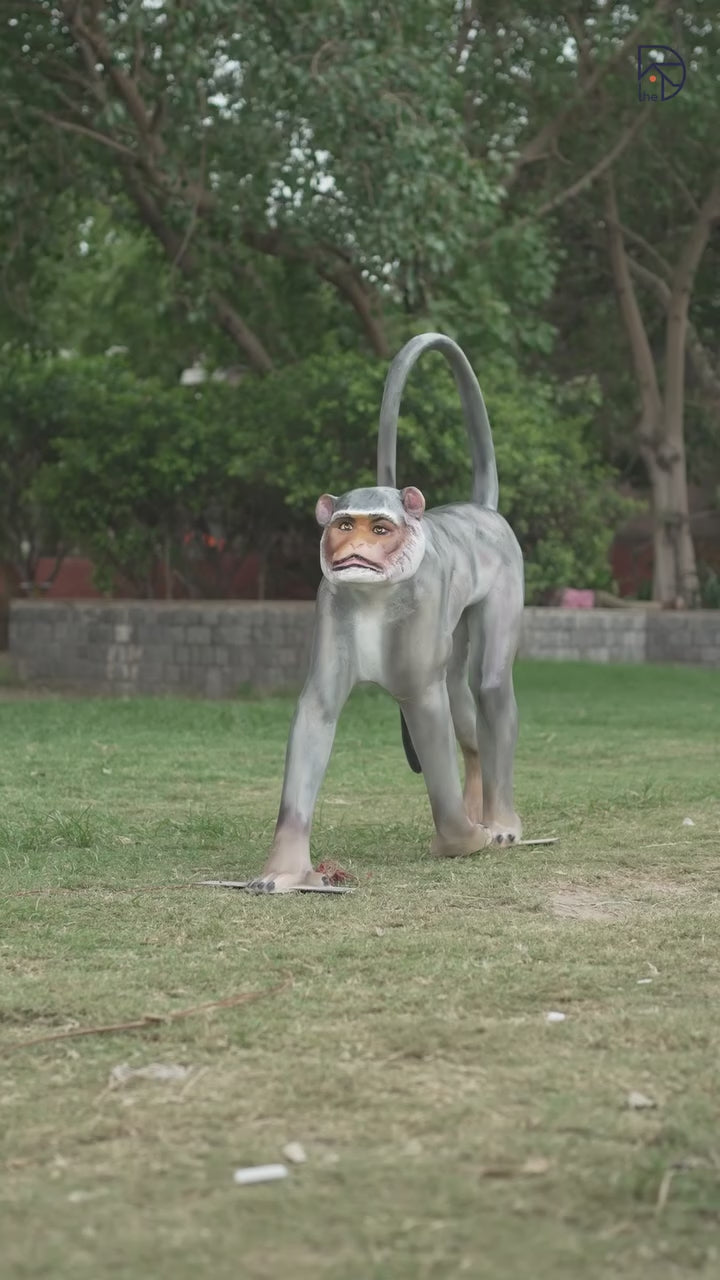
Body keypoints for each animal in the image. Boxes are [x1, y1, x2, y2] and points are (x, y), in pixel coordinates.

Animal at [247, 332, 524, 892]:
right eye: (342, 525)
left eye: (379, 527)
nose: (353, 551)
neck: (374, 594)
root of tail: (483, 510)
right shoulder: (331, 604)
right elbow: (317, 711)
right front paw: (285, 870)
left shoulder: (420, 627)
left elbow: (426, 712)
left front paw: (459, 841)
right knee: (463, 702)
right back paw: (477, 805)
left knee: (487, 686)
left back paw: (499, 823)